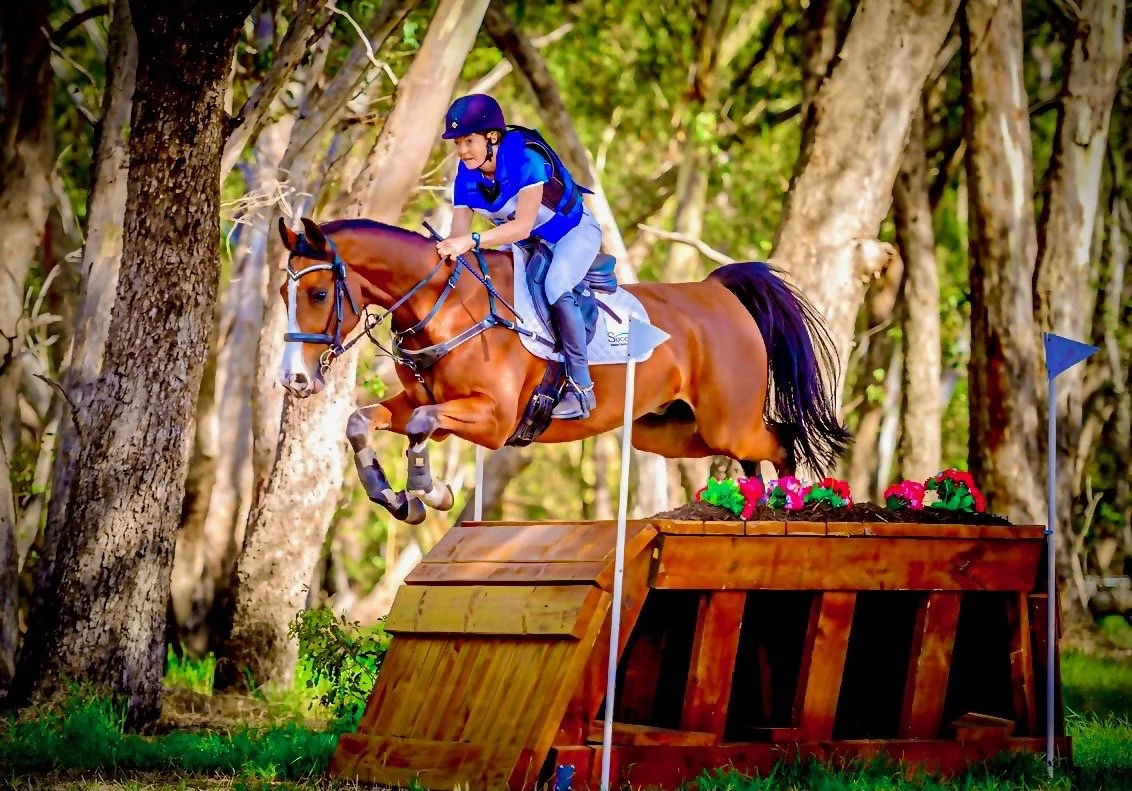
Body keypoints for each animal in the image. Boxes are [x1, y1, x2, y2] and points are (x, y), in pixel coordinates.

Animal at [276, 215, 851, 525]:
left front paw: (430, 492)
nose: (294, 381)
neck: (447, 305)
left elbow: (420, 428)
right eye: (284, 291)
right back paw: (752, 506)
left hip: (726, 420)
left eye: (319, 293)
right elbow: (362, 421)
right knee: (754, 452)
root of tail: (717, 290)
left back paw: (789, 505)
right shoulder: (425, 404)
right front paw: (397, 499)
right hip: (670, 431)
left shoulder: (493, 420)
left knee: (781, 440)